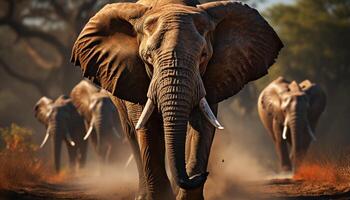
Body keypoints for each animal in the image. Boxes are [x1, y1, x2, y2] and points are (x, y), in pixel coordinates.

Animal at [70, 0, 282, 199]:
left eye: (203, 56)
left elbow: (201, 126)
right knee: (132, 133)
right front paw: (162, 197)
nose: (203, 175)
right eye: (148, 57)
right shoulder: (134, 75)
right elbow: (148, 128)